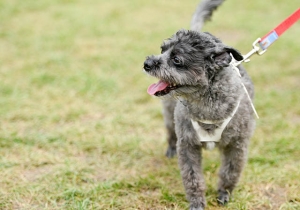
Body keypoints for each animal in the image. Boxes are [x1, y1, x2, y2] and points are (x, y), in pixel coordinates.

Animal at [143, 0, 255, 209]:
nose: (147, 63)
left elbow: (230, 171)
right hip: (170, 116)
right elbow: (192, 177)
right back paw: (170, 149)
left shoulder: (237, 145)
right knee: (171, 134)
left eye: (176, 59)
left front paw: (224, 193)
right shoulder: (187, 145)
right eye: (162, 49)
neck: (206, 103)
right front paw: (196, 201)